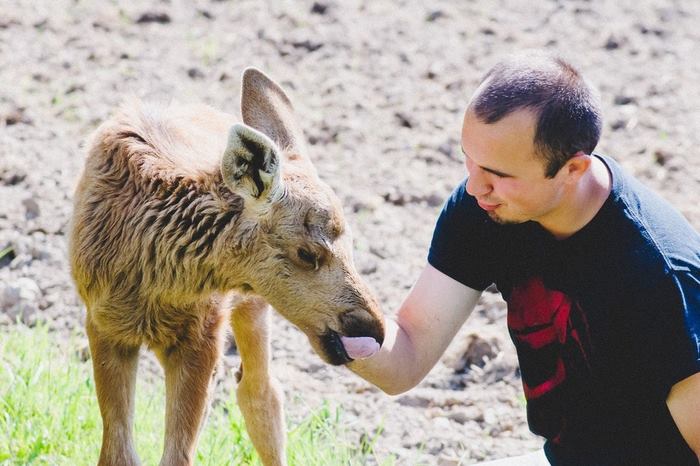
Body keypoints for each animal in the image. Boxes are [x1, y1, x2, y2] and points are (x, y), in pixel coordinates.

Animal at [68, 68, 385, 466]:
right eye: (307, 253)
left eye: (354, 245)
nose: (375, 328)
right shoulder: (104, 325)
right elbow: (117, 453)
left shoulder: (203, 332)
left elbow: (176, 456)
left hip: (253, 304)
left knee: (261, 393)